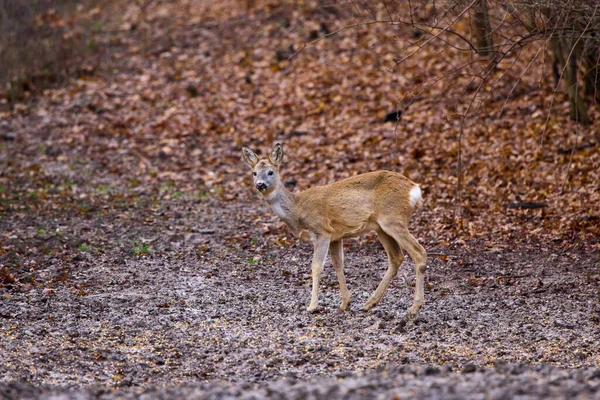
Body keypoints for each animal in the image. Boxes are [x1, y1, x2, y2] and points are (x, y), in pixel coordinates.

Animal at [240, 143, 426, 316]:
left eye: (271, 172)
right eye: (254, 173)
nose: (260, 184)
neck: (297, 209)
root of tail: (414, 189)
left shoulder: (322, 231)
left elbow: (316, 266)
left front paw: (312, 306)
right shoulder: (336, 236)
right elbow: (338, 264)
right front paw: (345, 303)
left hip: (393, 219)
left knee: (419, 253)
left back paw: (415, 306)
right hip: (381, 227)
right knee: (396, 257)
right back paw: (369, 303)